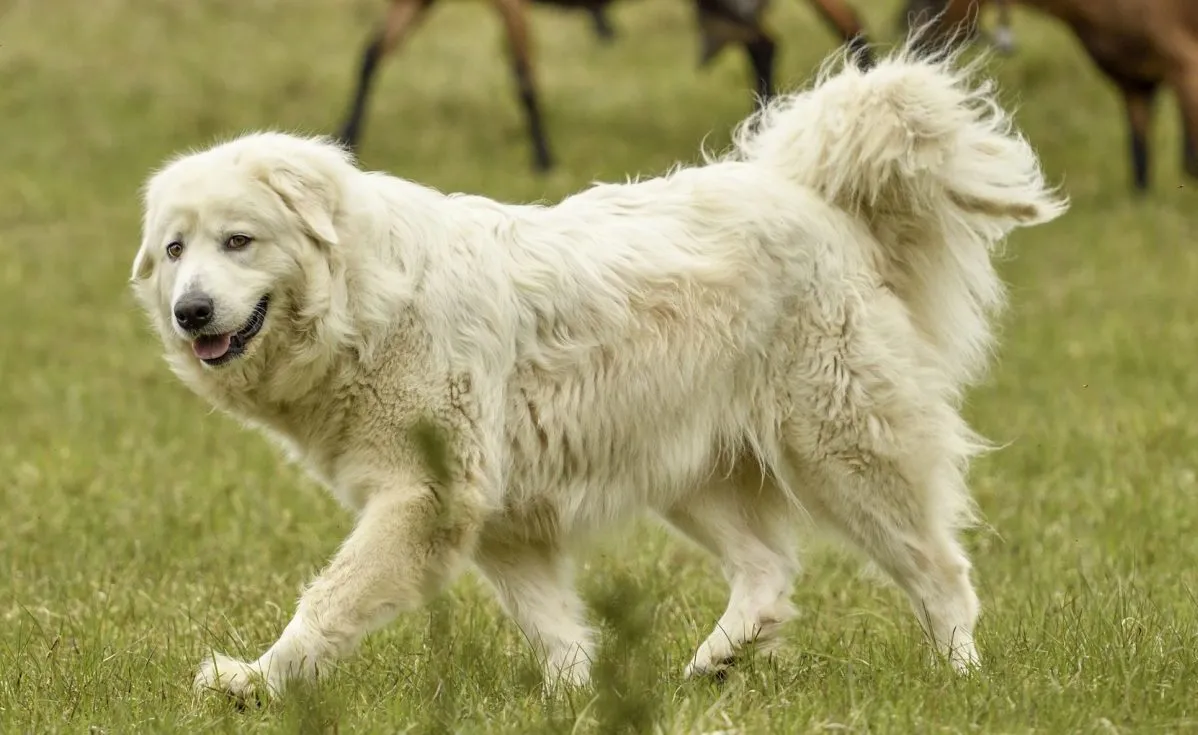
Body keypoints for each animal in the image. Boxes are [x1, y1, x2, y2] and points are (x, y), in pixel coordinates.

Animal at [131, 44, 1068, 703]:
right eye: (175, 250)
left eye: (239, 240)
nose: (190, 312)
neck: (363, 297)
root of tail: (812, 195)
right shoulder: (498, 521)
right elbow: (554, 628)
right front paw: (578, 697)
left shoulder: (426, 499)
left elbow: (324, 604)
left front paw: (254, 681)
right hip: (689, 466)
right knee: (768, 569)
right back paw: (717, 660)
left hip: (843, 452)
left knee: (939, 570)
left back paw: (959, 674)